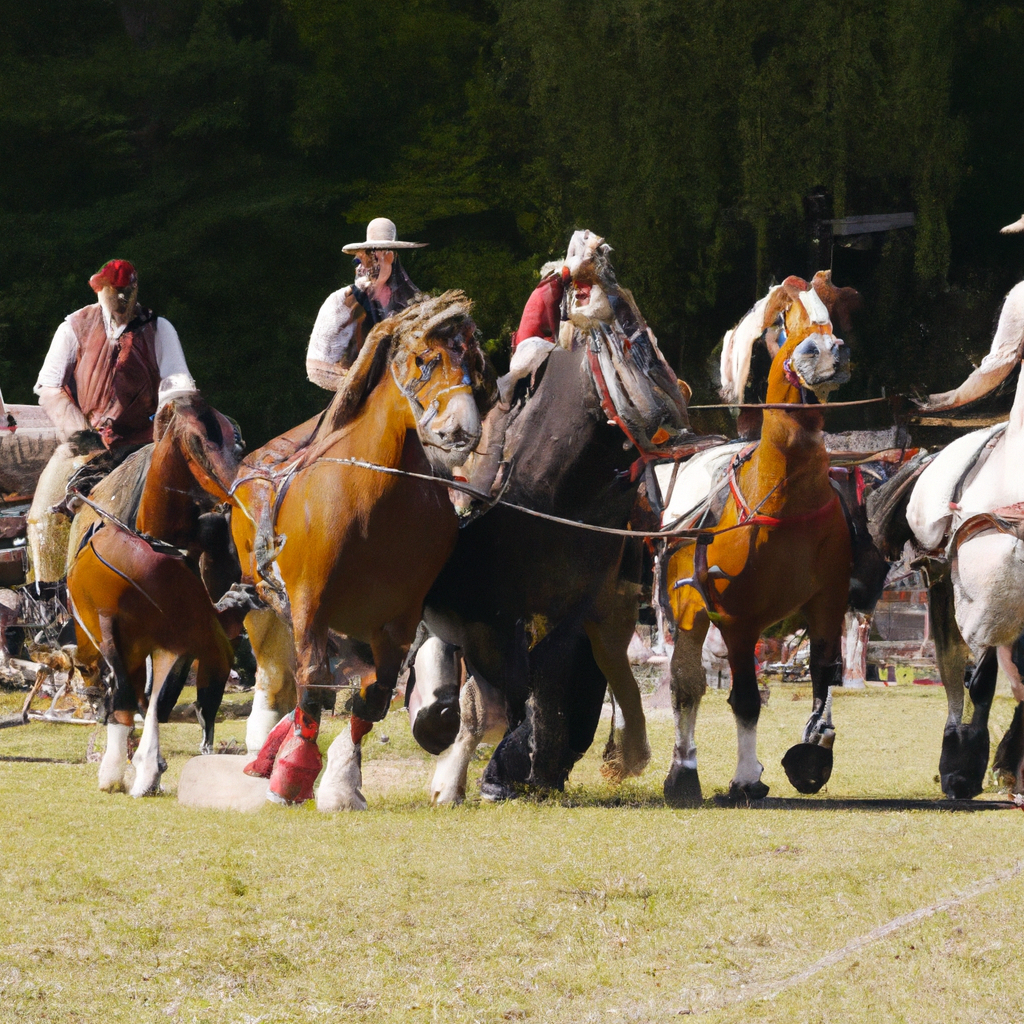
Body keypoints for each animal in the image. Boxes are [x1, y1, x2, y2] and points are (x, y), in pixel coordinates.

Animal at [65, 391, 247, 790]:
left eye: (236, 437)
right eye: (200, 438)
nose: (235, 488)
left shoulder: (188, 636)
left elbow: (161, 696)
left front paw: (147, 766)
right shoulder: (114, 631)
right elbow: (130, 694)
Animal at [230, 290, 485, 806]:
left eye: (475, 360)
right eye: (425, 359)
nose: (460, 432)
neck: (375, 502)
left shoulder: (399, 621)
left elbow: (373, 696)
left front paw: (342, 780)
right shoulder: (310, 602)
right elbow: (311, 681)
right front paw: (293, 772)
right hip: (275, 597)